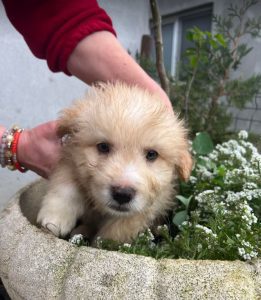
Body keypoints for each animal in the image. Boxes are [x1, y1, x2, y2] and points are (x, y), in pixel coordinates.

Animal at [36, 81, 191, 244]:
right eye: (103, 147)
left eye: (151, 154)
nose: (122, 194)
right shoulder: (71, 160)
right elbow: (65, 185)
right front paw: (55, 218)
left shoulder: (150, 205)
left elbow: (118, 229)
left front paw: (101, 243)